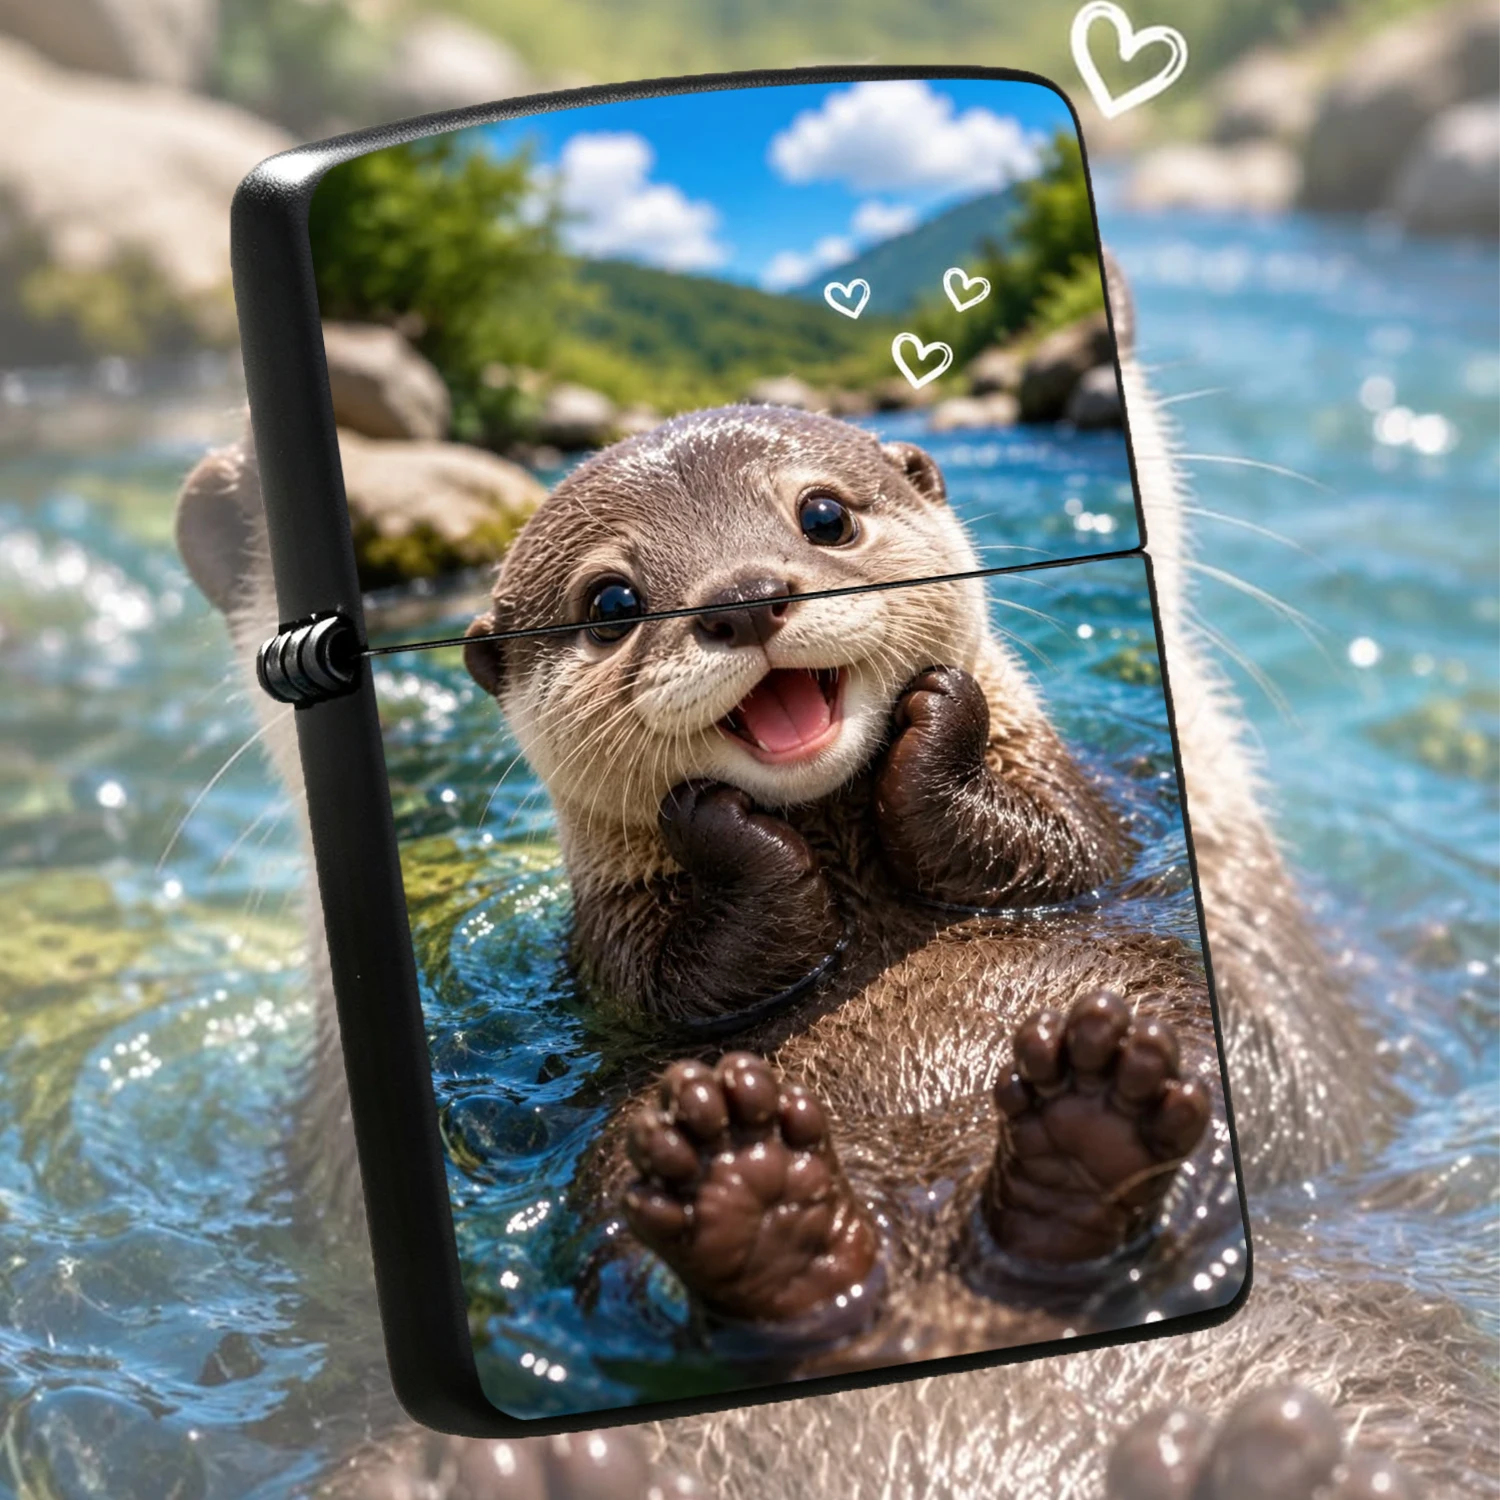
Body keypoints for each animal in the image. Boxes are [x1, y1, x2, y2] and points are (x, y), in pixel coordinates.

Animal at [173, 267, 1491, 1496]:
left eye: (823, 515)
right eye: (611, 603)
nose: (745, 596)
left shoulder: (1098, 815)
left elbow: (1058, 844)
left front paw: (935, 724)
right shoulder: (608, 947)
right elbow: (677, 983)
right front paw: (727, 830)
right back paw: (763, 1215)